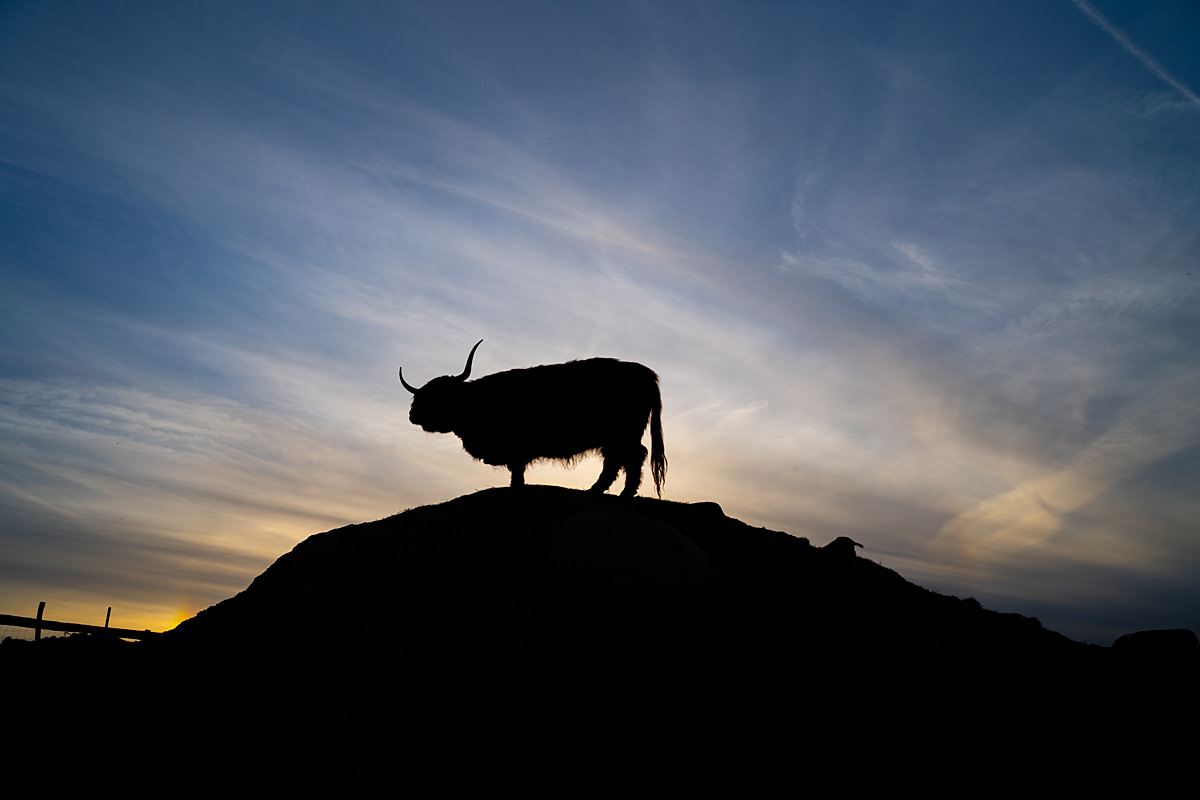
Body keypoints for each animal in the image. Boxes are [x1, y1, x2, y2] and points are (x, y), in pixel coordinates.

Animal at [399, 340, 667, 497]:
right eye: (420, 396)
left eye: (438, 395)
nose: (412, 415)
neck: (476, 401)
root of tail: (647, 374)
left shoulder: (517, 450)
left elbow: (517, 472)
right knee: (619, 460)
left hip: (622, 434)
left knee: (629, 457)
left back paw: (614, 492)